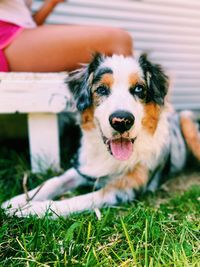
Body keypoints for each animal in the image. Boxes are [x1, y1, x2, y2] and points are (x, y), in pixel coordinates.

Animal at [1, 54, 200, 218]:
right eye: (102, 89)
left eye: (139, 89)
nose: (122, 121)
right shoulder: (85, 169)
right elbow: (54, 181)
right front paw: (16, 202)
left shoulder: (125, 188)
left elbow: (80, 199)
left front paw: (33, 209)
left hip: (187, 120)